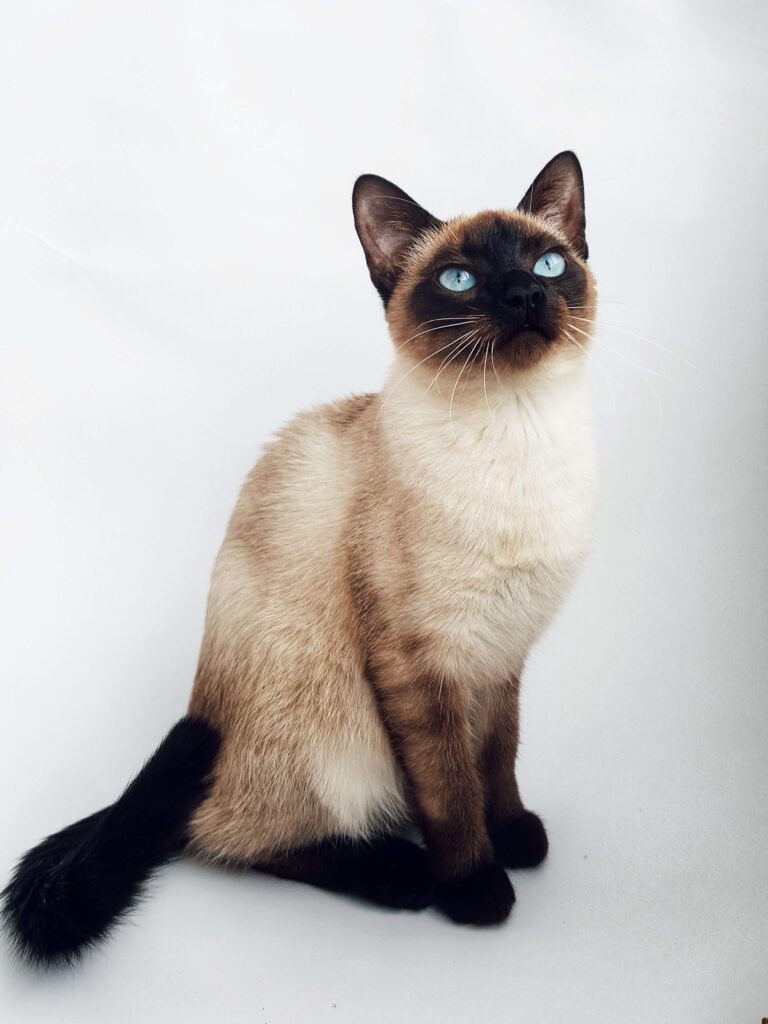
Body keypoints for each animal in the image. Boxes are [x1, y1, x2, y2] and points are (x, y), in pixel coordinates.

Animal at [3, 151, 598, 966]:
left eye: (547, 264)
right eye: (459, 280)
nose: (523, 294)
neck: (518, 429)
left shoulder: (500, 657)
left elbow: (495, 761)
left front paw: (512, 836)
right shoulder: (422, 665)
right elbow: (450, 791)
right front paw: (476, 887)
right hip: (330, 730)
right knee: (230, 838)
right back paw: (404, 875)